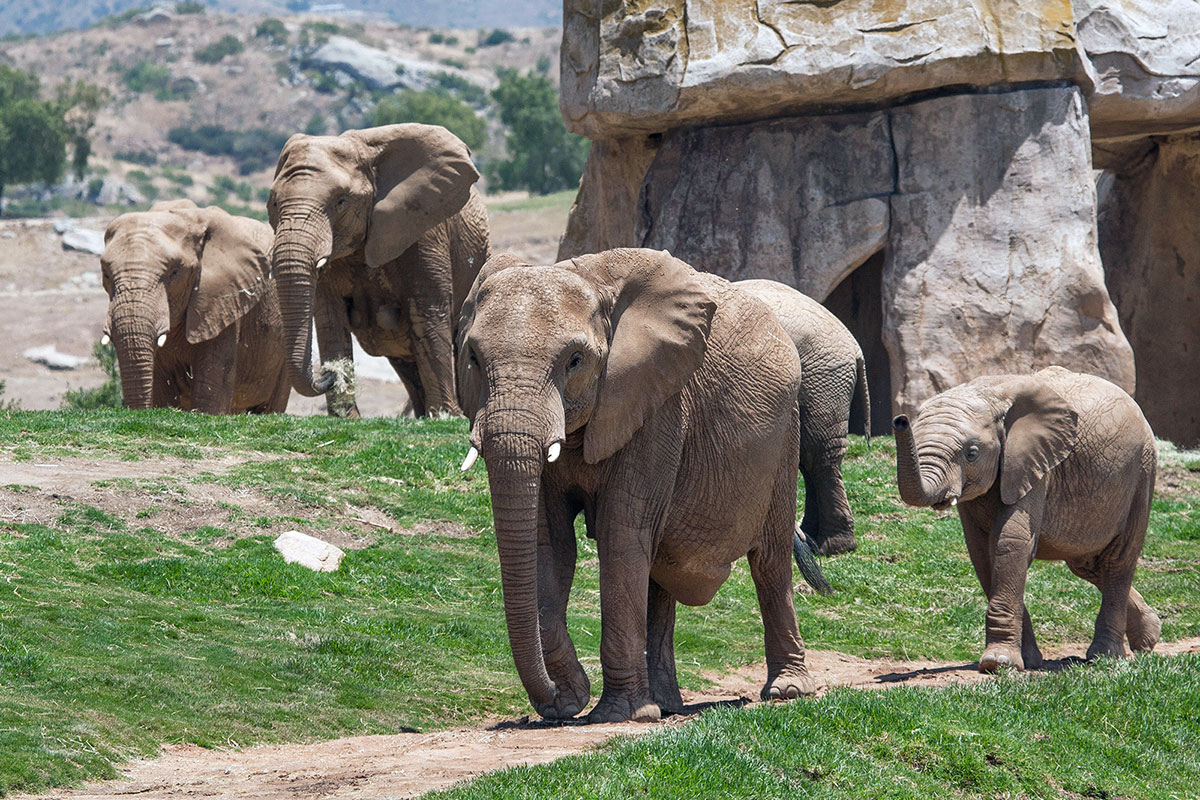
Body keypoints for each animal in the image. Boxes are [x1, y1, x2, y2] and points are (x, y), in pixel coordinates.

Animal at [267, 123, 487, 419]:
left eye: (341, 202)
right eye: (274, 203)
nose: (329, 374)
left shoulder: (424, 229)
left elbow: (428, 311)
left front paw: (445, 417)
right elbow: (328, 316)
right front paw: (346, 417)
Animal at [456, 247, 816, 724]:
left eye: (575, 360)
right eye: (474, 359)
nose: (554, 702)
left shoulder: (657, 408)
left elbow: (620, 534)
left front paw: (617, 715)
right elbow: (549, 542)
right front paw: (575, 702)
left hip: (785, 437)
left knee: (770, 563)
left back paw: (786, 691)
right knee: (658, 574)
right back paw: (665, 705)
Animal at [734, 280, 868, 556]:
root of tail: (853, 344)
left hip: (825, 376)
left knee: (819, 454)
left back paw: (830, 547)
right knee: (808, 455)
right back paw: (812, 539)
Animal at [892, 367, 1161, 671]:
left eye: (971, 454)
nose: (899, 420)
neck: (989, 395)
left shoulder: (1036, 465)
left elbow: (1010, 542)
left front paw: (998, 664)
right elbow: (982, 553)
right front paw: (1026, 661)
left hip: (1142, 470)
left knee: (1117, 561)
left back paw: (1105, 657)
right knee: (1088, 565)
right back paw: (1148, 639)